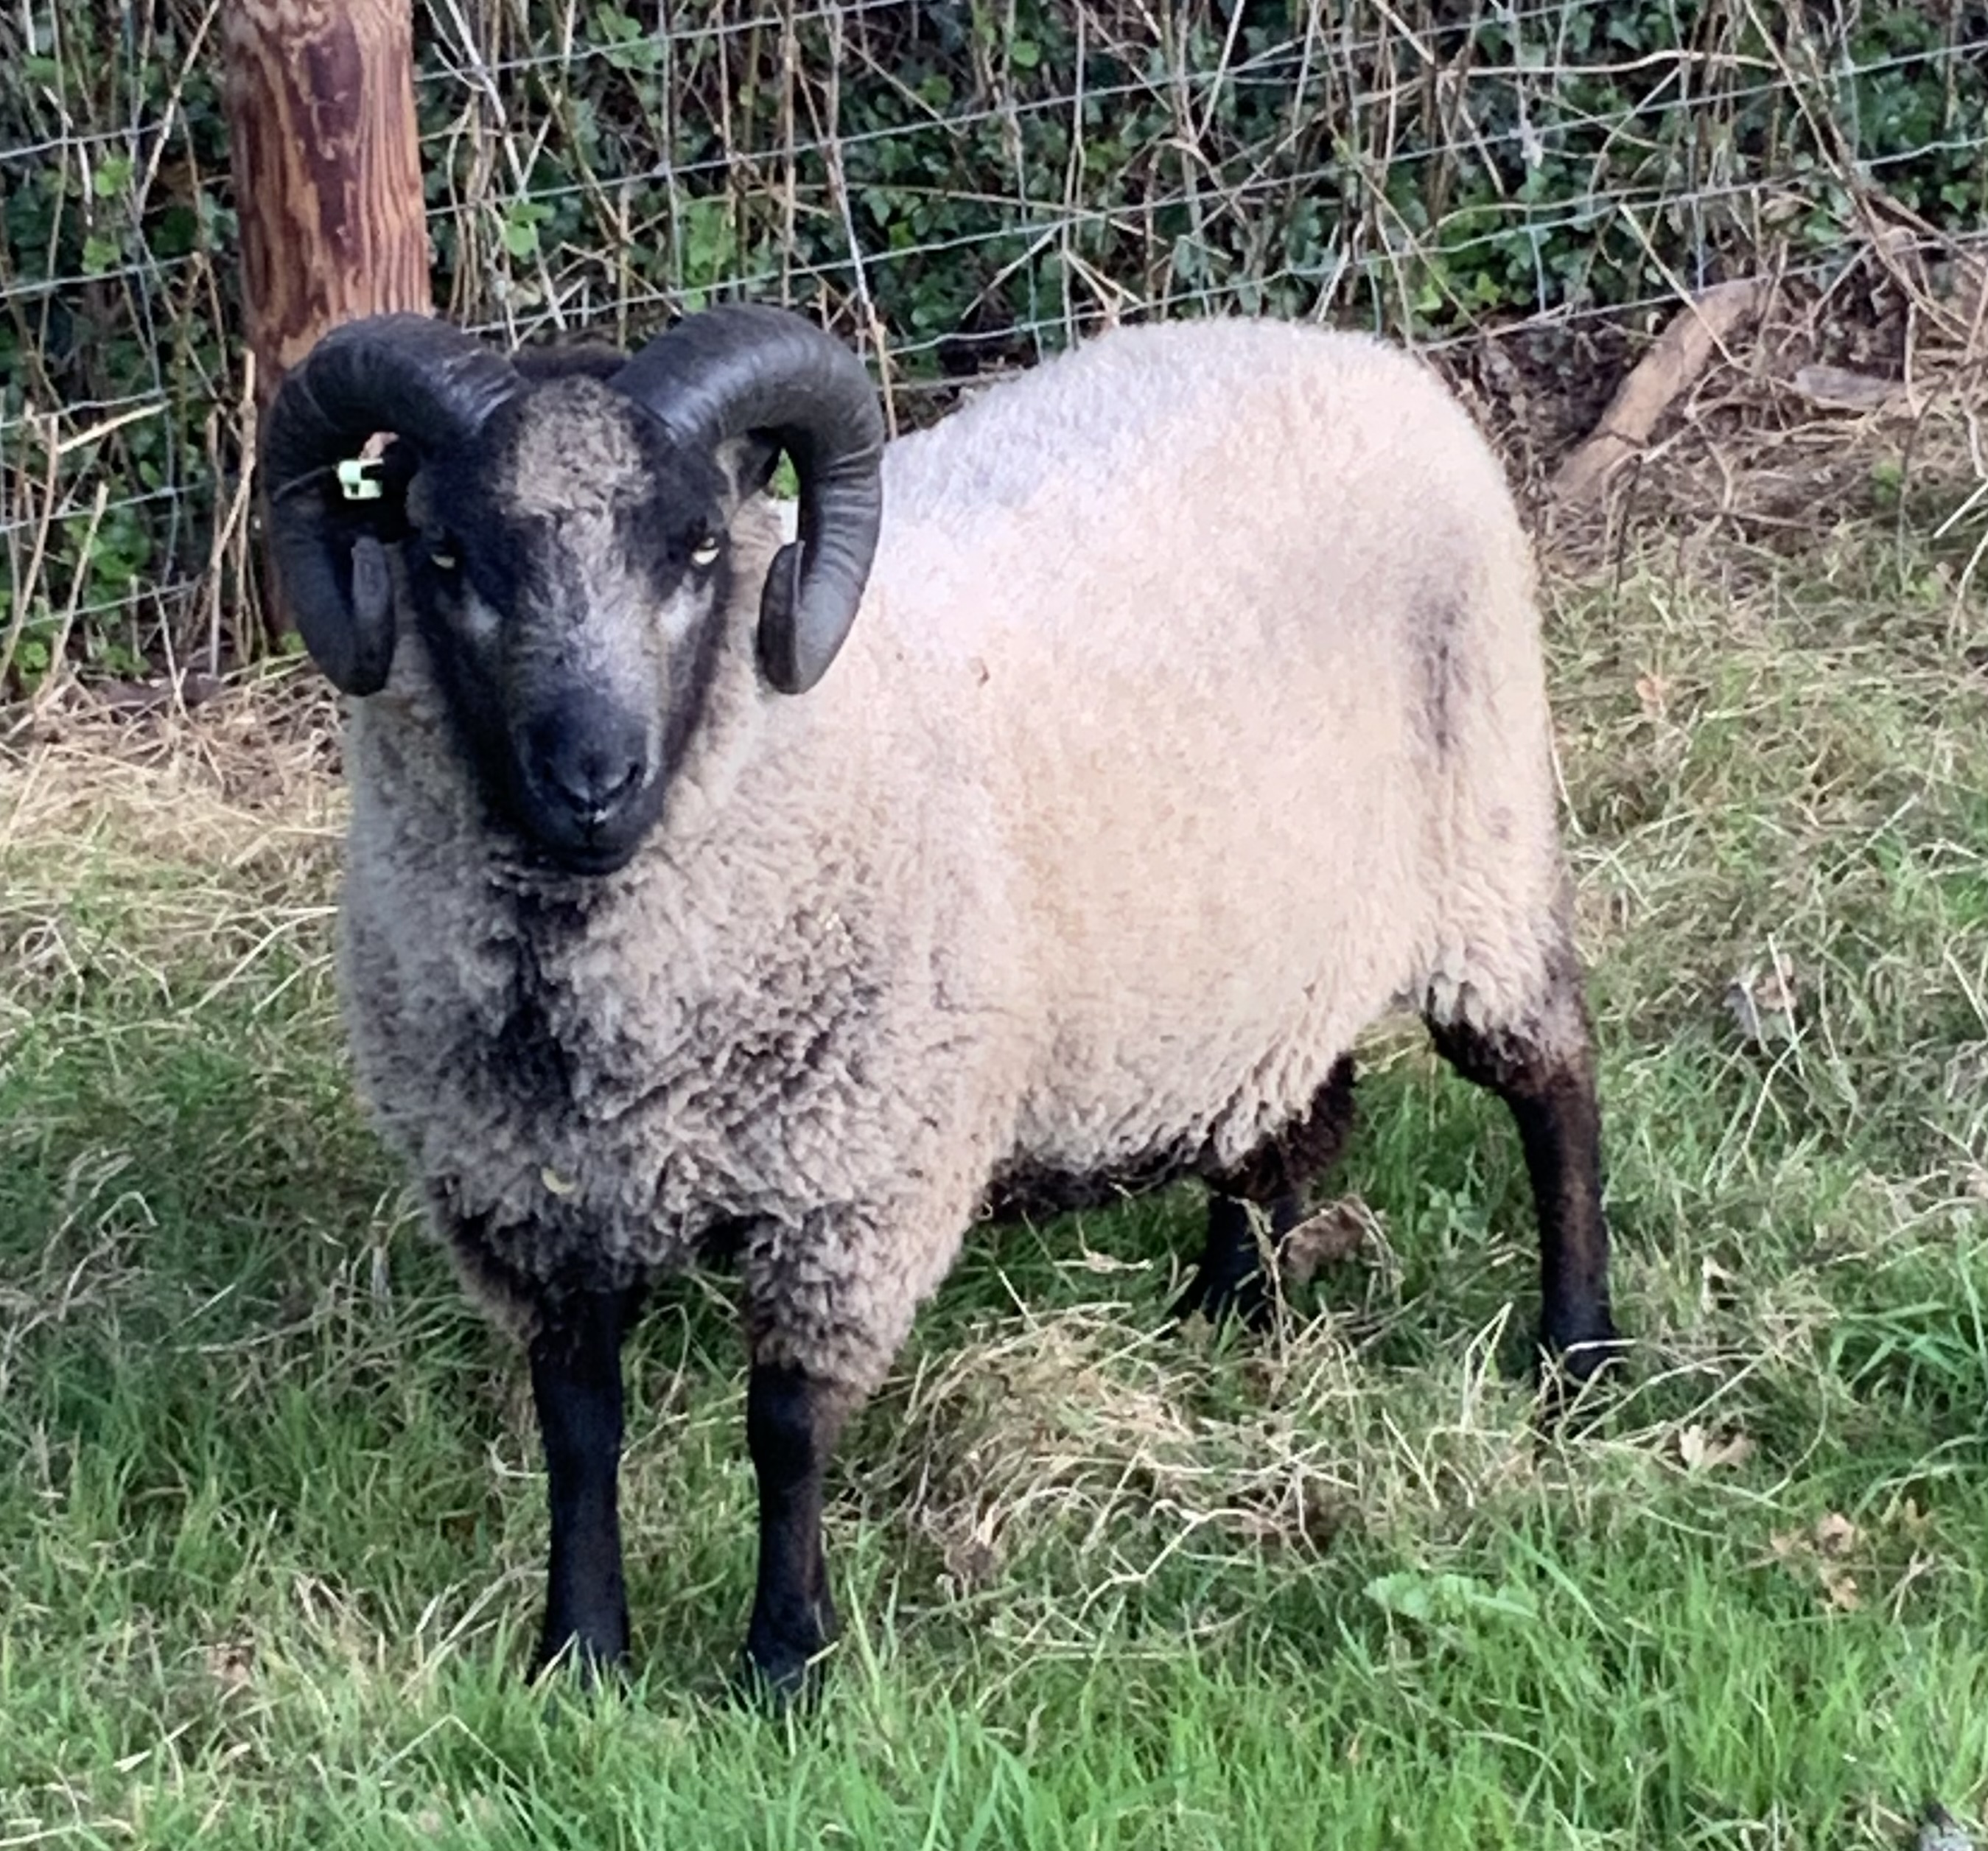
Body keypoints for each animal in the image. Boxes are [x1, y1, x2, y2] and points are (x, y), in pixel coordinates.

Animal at [261, 304, 1619, 1697]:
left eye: (700, 545)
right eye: (443, 552)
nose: (593, 779)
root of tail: (1354, 351)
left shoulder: (852, 1192)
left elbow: (785, 1432)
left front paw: (783, 1665)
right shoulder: (523, 1206)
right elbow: (579, 1430)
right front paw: (579, 1655)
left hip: (1480, 845)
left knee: (1554, 1081)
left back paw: (1576, 1356)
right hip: (1268, 936)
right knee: (1297, 1108)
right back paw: (1229, 1311)